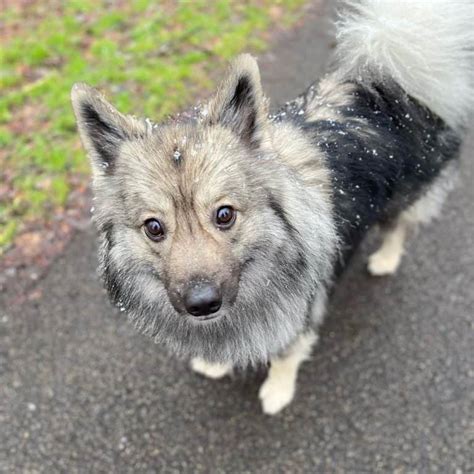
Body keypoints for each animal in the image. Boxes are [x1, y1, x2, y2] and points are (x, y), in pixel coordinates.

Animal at [71, 0, 474, 414]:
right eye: (154, 227)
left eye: (224, 215)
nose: (202, 303)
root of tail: (393, 77)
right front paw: (217, 363)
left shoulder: (300, 311)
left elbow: (286, 354)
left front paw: (278, 390)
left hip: (410, 195)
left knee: (399, 227)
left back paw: (385, 259)